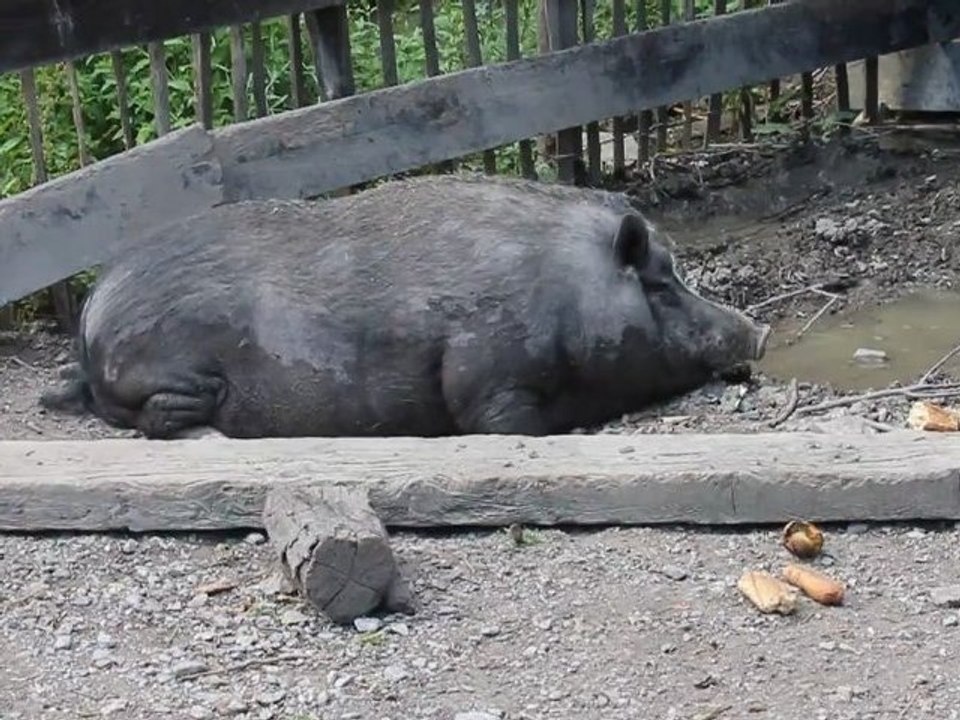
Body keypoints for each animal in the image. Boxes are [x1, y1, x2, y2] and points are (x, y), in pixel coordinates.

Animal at [41, 173, 770, 439]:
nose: (758, 331)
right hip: (171, 373)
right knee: (155, 416)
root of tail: (90, 314)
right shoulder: (488, 380)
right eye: (660, 284)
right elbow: (504, 423)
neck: (570, 291)